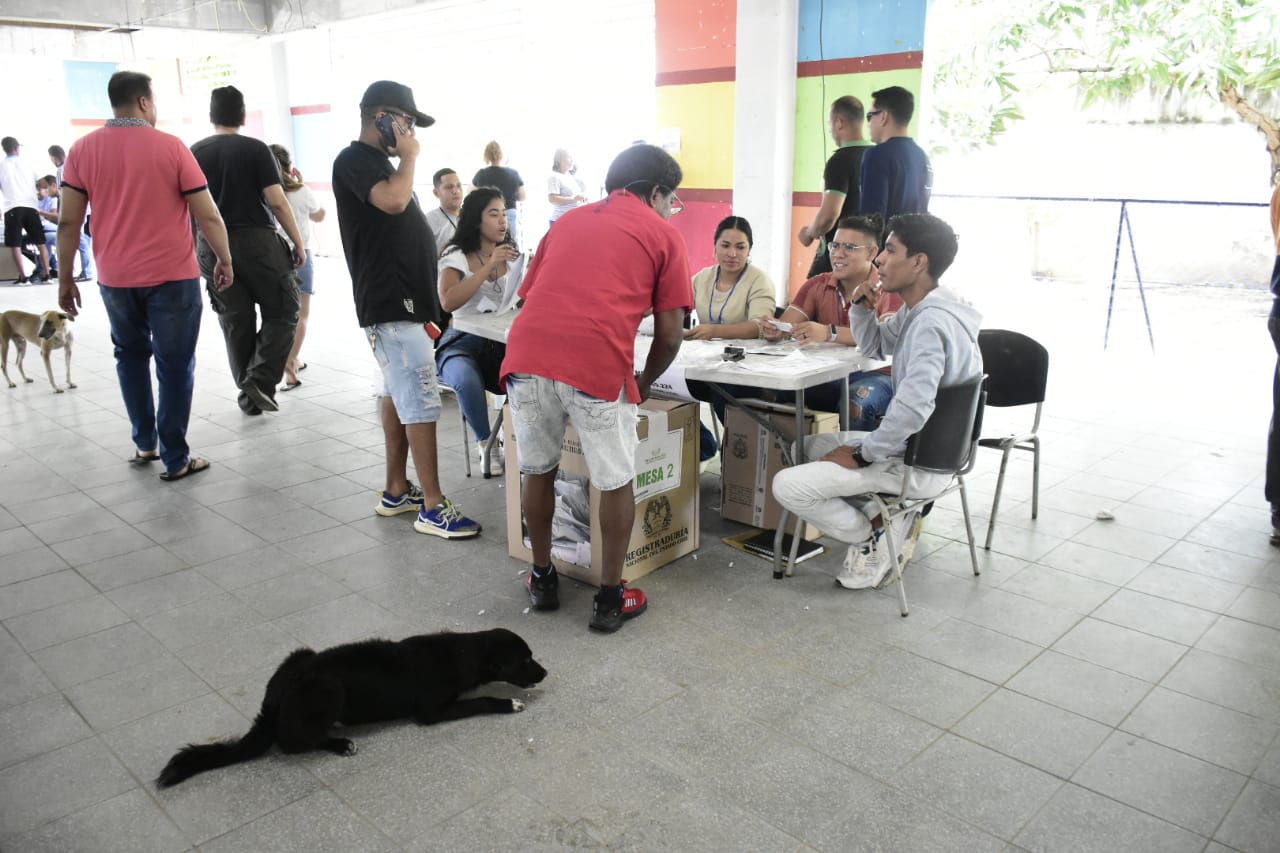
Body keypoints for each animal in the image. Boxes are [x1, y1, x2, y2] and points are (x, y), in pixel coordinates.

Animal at [156, 625, 545, 783]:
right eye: (525, 660)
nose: (545, 673)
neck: (459, 653)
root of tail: (276, 696)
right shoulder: (431, 712)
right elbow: (481, 700)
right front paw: (509, 703)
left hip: (301, 654)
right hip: (327, 688)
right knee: (291, 742)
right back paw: (340, 742)